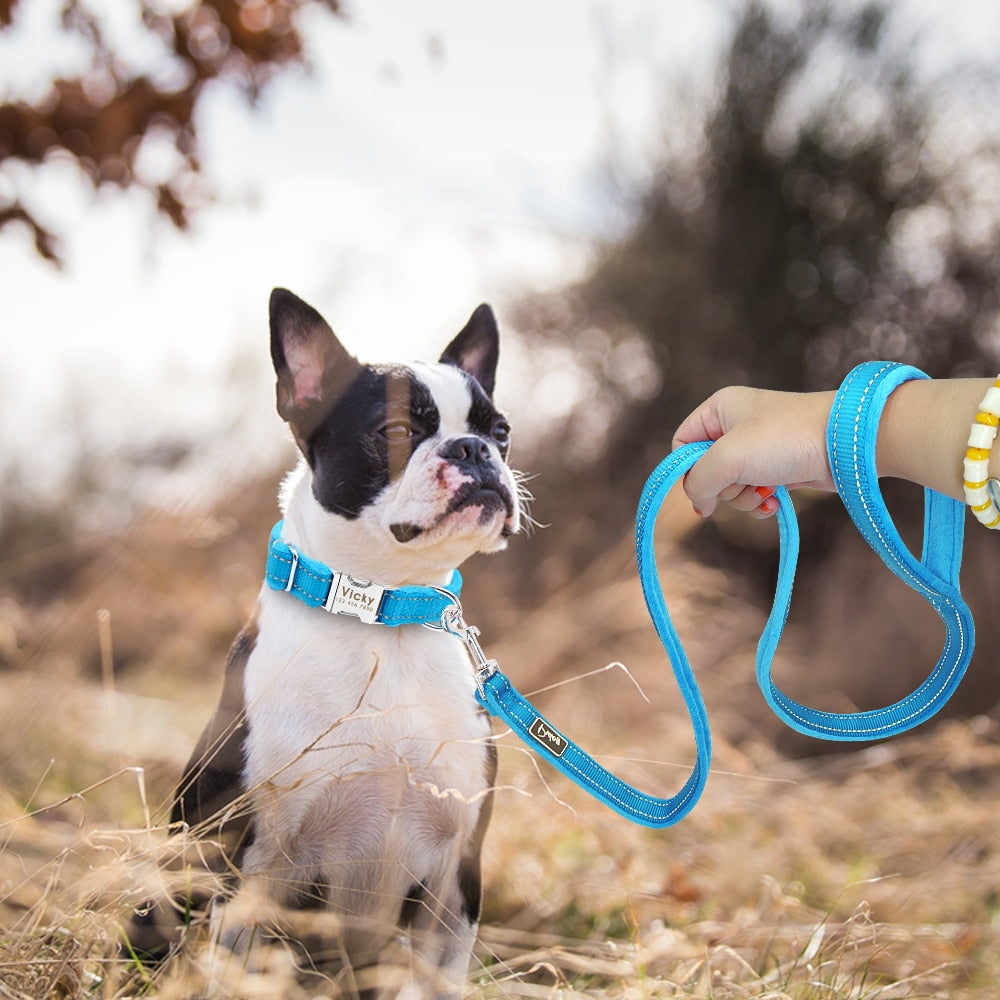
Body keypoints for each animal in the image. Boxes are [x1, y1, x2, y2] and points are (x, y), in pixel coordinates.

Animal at [162, 290, 524, 992]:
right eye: (396, 432)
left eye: (499, 432)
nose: (472, 449)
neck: (385, 616)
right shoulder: (249, 866)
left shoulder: (455, 880)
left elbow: (440, 979)